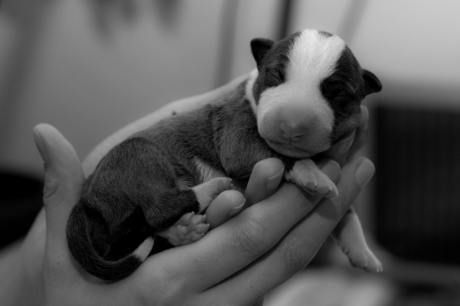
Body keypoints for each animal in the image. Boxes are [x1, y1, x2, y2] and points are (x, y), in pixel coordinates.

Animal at [66, 28, 382, 280]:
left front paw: (362, 251)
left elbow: (347, 211)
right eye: (275, 75)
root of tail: (85, 198)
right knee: (157, 210)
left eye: (337, 93)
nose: (292, 126)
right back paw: (211, 191)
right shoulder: (236, 133)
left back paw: (182, 230)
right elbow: (279, 156)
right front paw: (312, 173)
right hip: (138, 155)